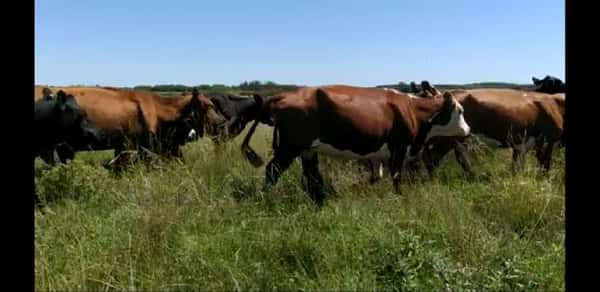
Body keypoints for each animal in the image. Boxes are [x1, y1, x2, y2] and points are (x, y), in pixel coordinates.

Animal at [241, 85, 472, 206]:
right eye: (460, 111)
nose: (468, 130)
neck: (412, 110)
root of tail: (283, 95)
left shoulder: (377, 154)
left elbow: (376, 177)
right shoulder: (398, 147)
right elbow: (396, 176)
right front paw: (399, 197)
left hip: (307, 150)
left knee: (312, 176)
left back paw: (321, 200)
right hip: (290, 148)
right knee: (273, 170)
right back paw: (264, 198)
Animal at [420, 88, 564, 176]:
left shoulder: (523, 144)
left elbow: (518, 163)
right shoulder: (547, 141)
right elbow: (545, 163)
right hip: (451, 138)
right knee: (437, 156)